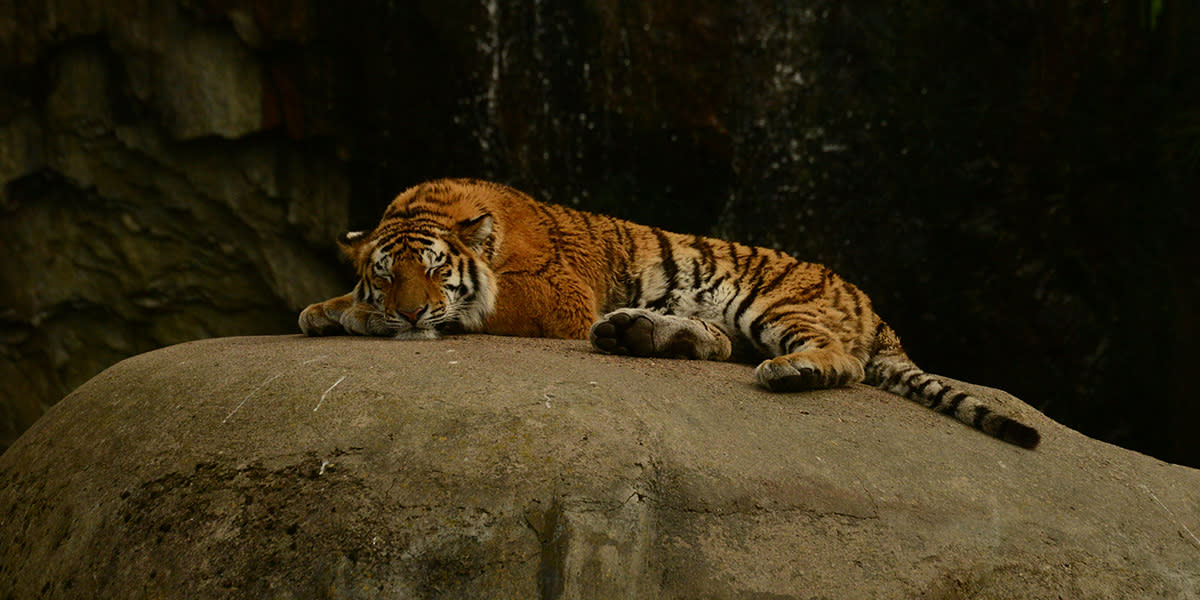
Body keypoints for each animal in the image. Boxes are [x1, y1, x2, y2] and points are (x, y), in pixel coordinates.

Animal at [300, 178, 1041, 451]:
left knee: (839, 361)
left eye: (433, 271)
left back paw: (790, 372)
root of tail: (873, 306)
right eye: (387, 274)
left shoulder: (554, 295)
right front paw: (327, 308)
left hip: (774, 302)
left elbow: (475, 306)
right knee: (717, 344)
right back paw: (636, 331)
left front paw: (360, 317)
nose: (406, 314)